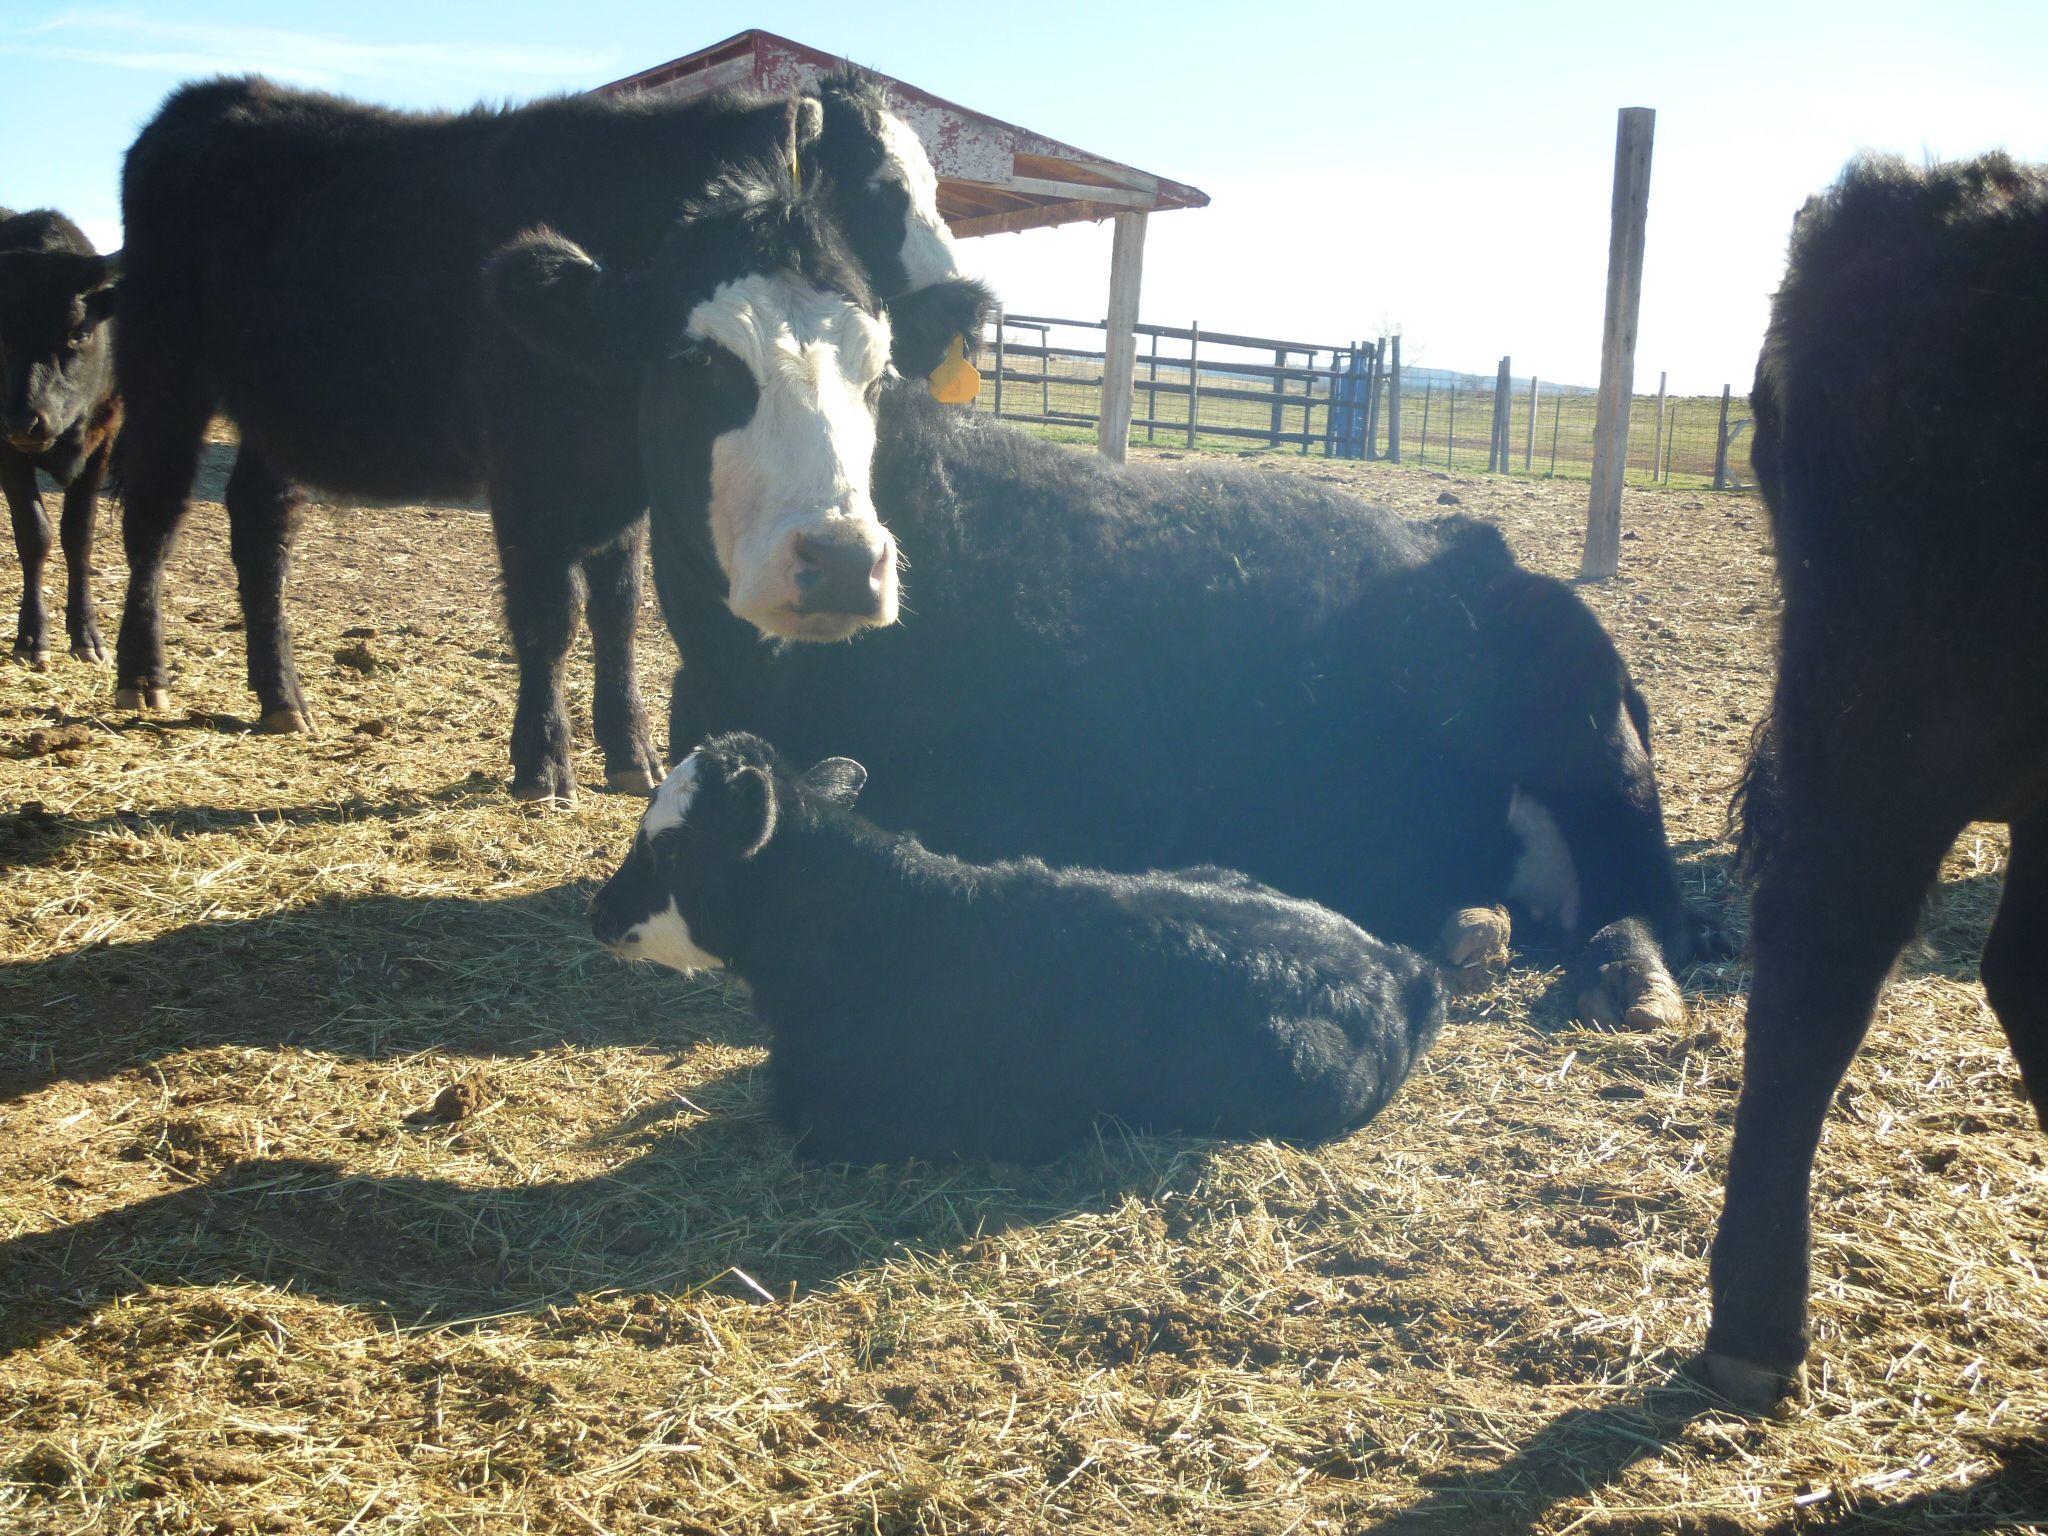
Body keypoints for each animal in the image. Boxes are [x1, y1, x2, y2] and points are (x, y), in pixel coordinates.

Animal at [0, 208, 121, 667]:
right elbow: (35, 534)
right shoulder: (6, 449)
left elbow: (78, 536)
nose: (23, 421)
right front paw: (32, 636)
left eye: (79, 332)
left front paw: (86, 634)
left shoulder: (104, 439)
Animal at [112, 69, 991, 806]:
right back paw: (140, 674)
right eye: (880, 191)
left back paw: (282, 698)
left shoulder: (624, 478)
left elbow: (618, 609)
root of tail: (206, 98)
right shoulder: (527, 470)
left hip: (272, 410)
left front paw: (631, 754)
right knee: (153, 513)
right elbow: (550, 612)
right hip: (164, 372)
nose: (966, 312)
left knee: (261, 525)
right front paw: (543, 764)